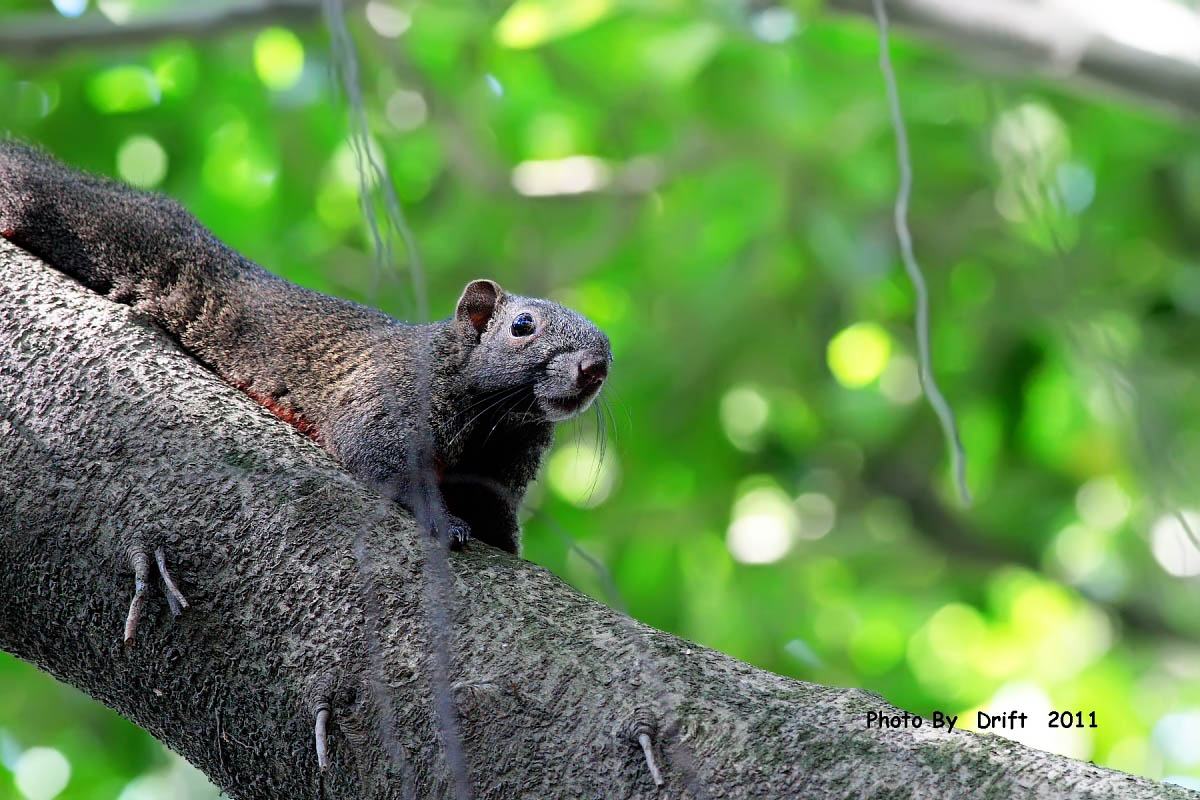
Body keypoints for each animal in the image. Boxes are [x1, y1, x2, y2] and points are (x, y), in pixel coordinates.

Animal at [0, 143, 614, 554]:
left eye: (609, 349)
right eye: (523, 325)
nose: (595, 368)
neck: (499, 418)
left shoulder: (501, 466)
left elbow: (494, 511)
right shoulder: (388, 393)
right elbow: (385, 461)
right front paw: (444, 522)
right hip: (80, 216)